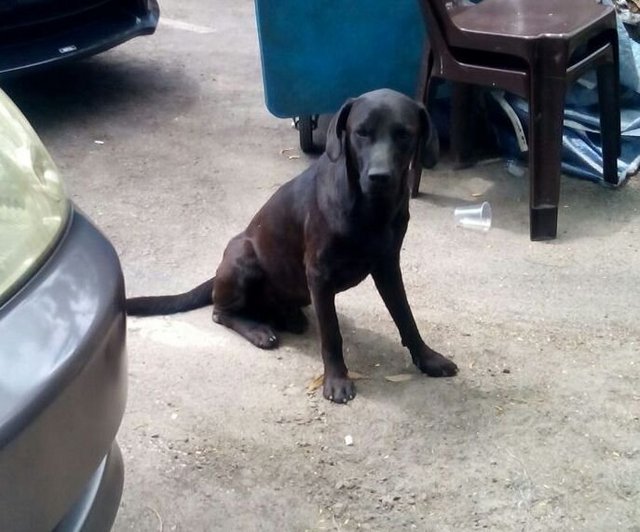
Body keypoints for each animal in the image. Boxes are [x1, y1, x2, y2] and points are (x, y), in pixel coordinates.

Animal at [126, 88, 456, 404]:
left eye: (404, 134)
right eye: (361, 132)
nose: (380, 177)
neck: (370, 209)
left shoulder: (388, 266)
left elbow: (406, 317)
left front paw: (428, 358)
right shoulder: (320, 274)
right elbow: (331, 334)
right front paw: (336, 380)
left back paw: (288, 318)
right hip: (243, 259)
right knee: (221, 312)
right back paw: (259, 330)